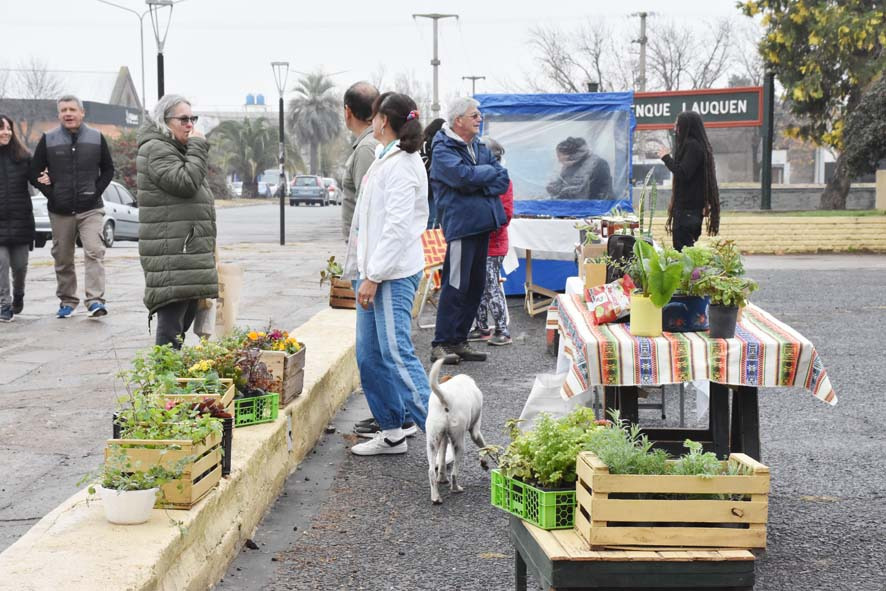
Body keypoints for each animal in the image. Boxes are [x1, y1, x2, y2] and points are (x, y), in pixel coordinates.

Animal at [426, 356, 490, 504]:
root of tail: (445, 398)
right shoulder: (475, 431)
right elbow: (484, 446)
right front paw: (484, 461)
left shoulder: (443, 438)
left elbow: (442, 460)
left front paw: (442, 478)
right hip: (459, 443)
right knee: (454, 473)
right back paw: (455, 488)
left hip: (432, 441)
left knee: (431, 471)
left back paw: (436, 497)